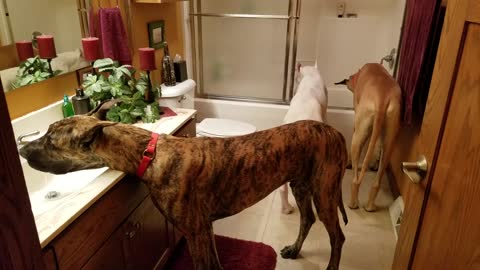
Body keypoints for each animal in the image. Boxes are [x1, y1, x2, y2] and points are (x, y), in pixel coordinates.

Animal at [20, 100, 346, 268]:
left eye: (50, 141)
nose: (21, 150)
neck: (149, 153)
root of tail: (335, 132)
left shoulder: (194, 232)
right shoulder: (205, 229)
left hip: (324, 191)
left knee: (337, 237)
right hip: (301, 186)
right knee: (307, 219)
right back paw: (294, 249)